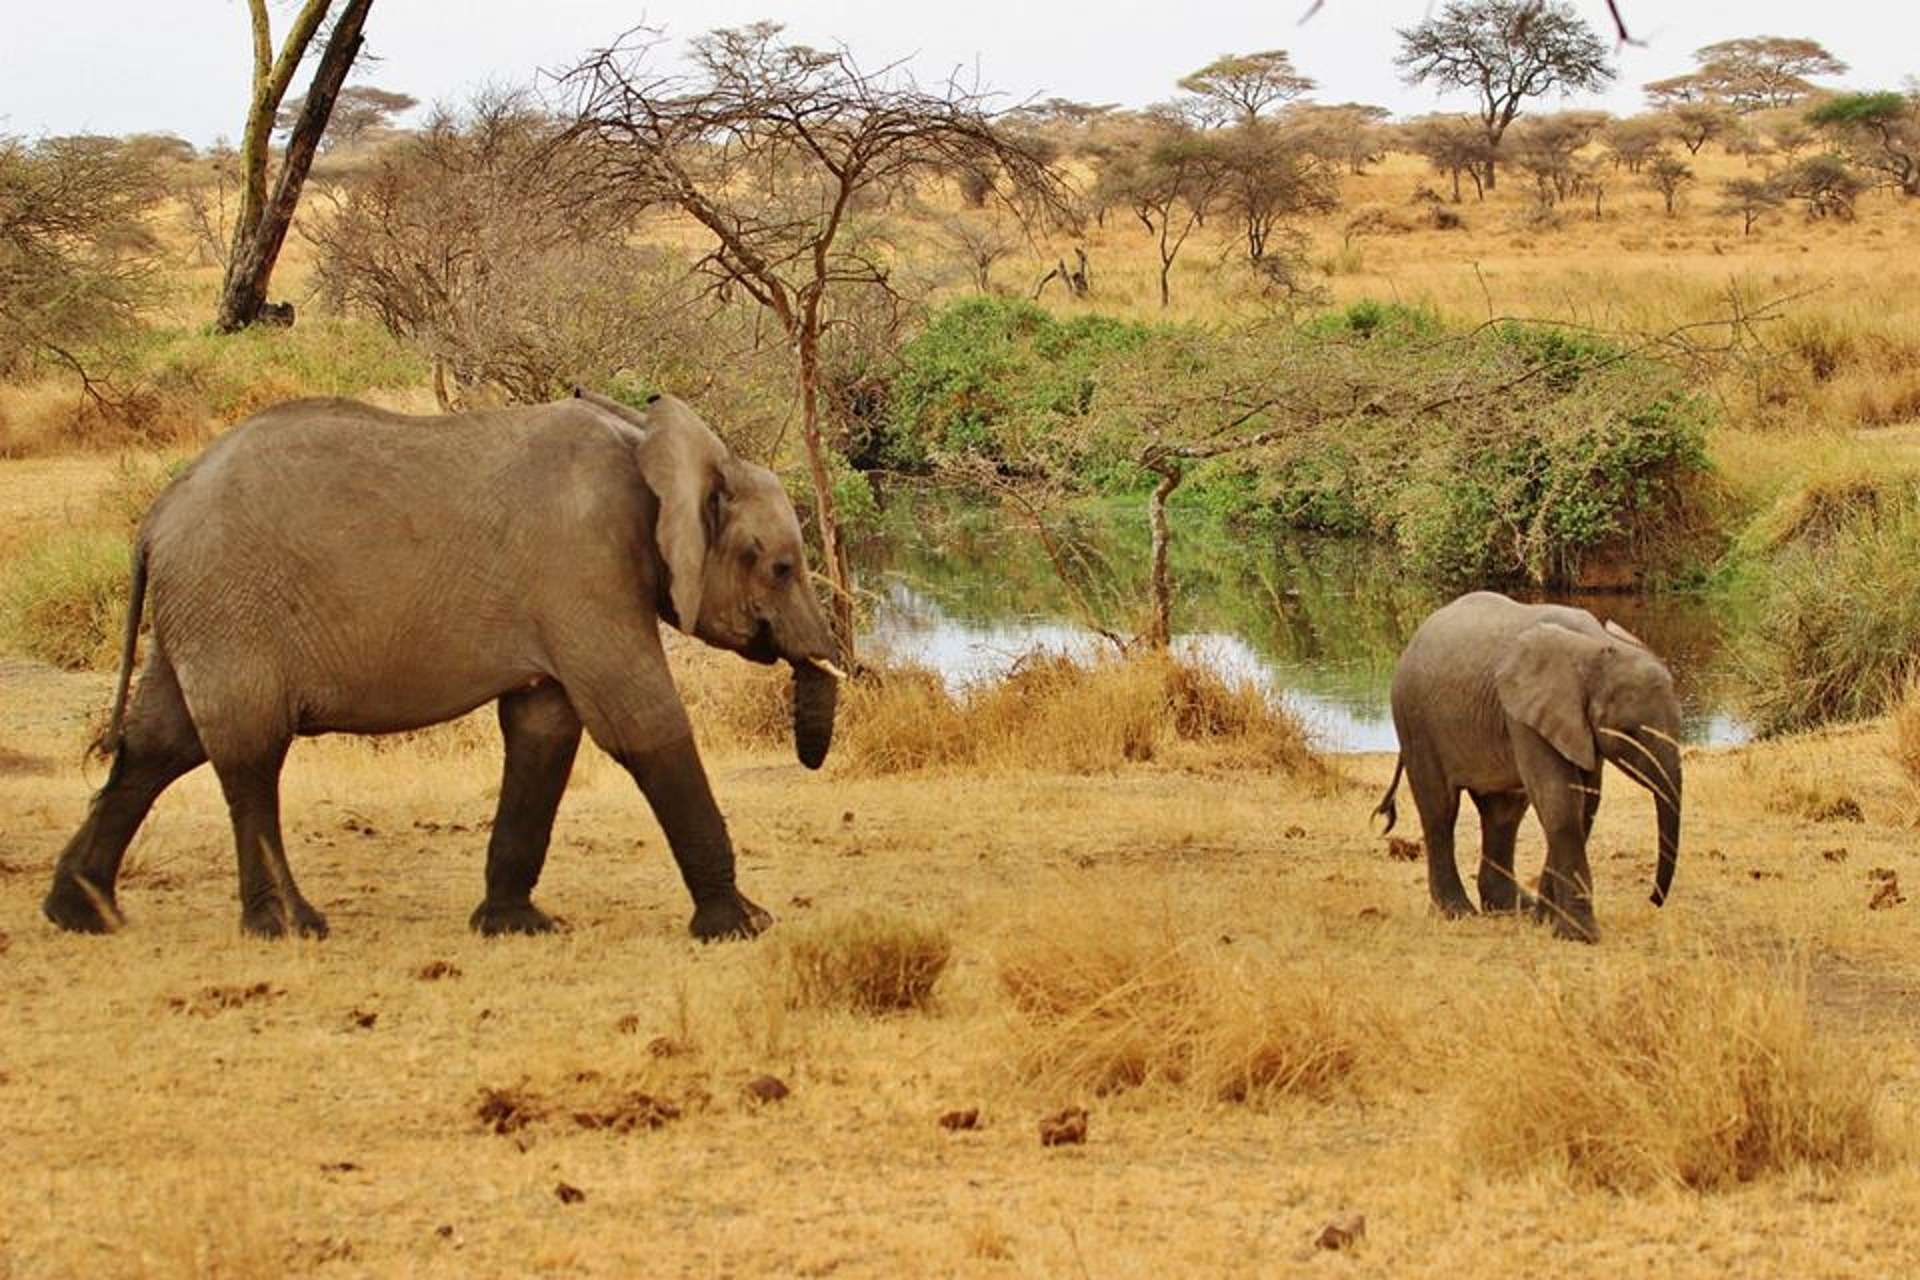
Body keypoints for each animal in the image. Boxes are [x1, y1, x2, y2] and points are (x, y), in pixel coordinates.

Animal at [43, 387, 840, 940]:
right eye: (779, 567)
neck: (651, 443)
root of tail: (155, 518)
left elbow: (544, 731)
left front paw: (516, 927)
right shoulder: (584, 568)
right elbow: (639, 721)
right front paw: (744, 926)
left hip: (199, 610)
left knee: (159, 745)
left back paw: (80, 914)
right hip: (229, 604)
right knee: (249, 754)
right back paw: (292, 928)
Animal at [1382, 591, 1681, 940]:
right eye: (1628, 732)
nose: (1653, 900)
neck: (1595, 645)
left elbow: (1584, 806)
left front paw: (1545, 921)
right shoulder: (1524, 715)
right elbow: (1561, 803)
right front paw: (1580, 936)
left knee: (1504, 814)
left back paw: (1513, 908)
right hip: (1414, 718)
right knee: (1440, 811)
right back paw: (1458, 913)